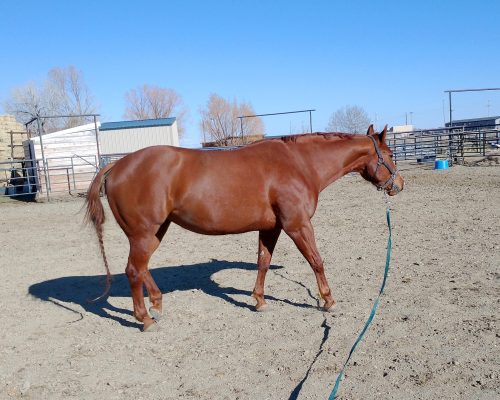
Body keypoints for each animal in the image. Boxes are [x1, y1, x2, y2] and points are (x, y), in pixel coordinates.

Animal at [86, 125, 404, 332]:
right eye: (390, 155)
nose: (399, 185)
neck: (300, 164)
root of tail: (117, 166)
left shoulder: (271, 228)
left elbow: (263, 262)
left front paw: (259, 301)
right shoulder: (298, 225)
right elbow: (316, 261)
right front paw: (328, 300)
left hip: (154, 232)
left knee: (141, 268)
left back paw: (156, 304)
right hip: (143, 233)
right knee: (133, 270)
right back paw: (145, 319)